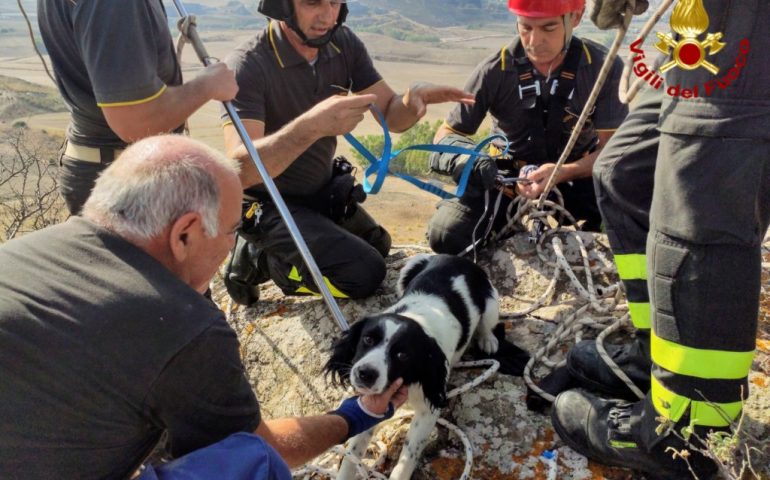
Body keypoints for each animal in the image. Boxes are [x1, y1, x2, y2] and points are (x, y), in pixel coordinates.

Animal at [322, 253, 498, 478]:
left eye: (402, 355)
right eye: (368, 339)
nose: (365, 374)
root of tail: (457, 258)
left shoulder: (428, 410)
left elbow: (408, 455)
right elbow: (352, 453)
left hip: (492, 302)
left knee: (486, 324)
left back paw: (488, 339)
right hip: (408, 269)